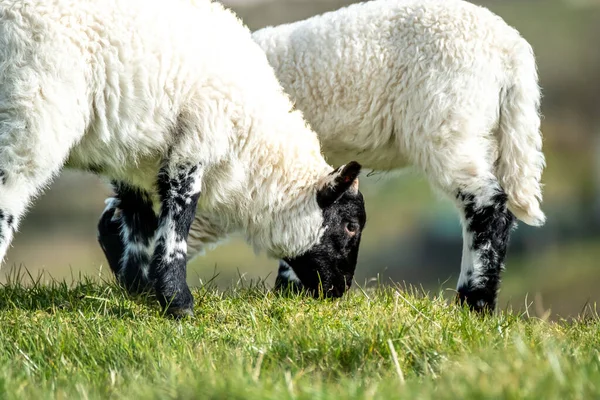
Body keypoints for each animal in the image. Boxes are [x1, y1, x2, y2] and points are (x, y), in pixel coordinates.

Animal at [0, 0, 366, 318]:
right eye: (350, 226)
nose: (340, 290)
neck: (253, 148)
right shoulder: (196, 142)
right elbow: (179, 220)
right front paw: (177, 303)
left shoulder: (133, 160)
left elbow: (138, 222)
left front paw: (140, 287)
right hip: (33, 108)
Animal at [97, 0, 544, 312]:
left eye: (116, 234)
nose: (129, 290)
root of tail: (512, 51)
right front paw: (292, 290)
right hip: (491, 132)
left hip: (450, 121)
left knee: (487, 207)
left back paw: (474, 303)